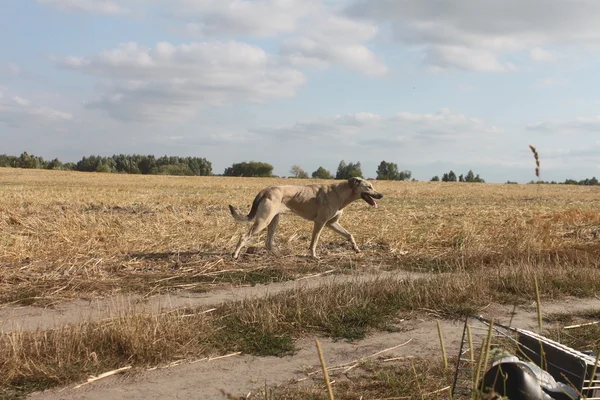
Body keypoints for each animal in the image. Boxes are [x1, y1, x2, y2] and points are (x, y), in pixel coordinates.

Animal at [230, 178, 384, 260]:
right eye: (369, 187)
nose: (381, 195)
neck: (340, 193)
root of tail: (265, 190)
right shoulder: (320, 222)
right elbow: (314, 241)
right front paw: (314, 256)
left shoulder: (332, 223)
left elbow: (349, 234)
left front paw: (356, 248)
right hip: (263, 221)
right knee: (243, 236)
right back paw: (235, 254)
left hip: (274, 220)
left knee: (268, 242)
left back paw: (277, 254)